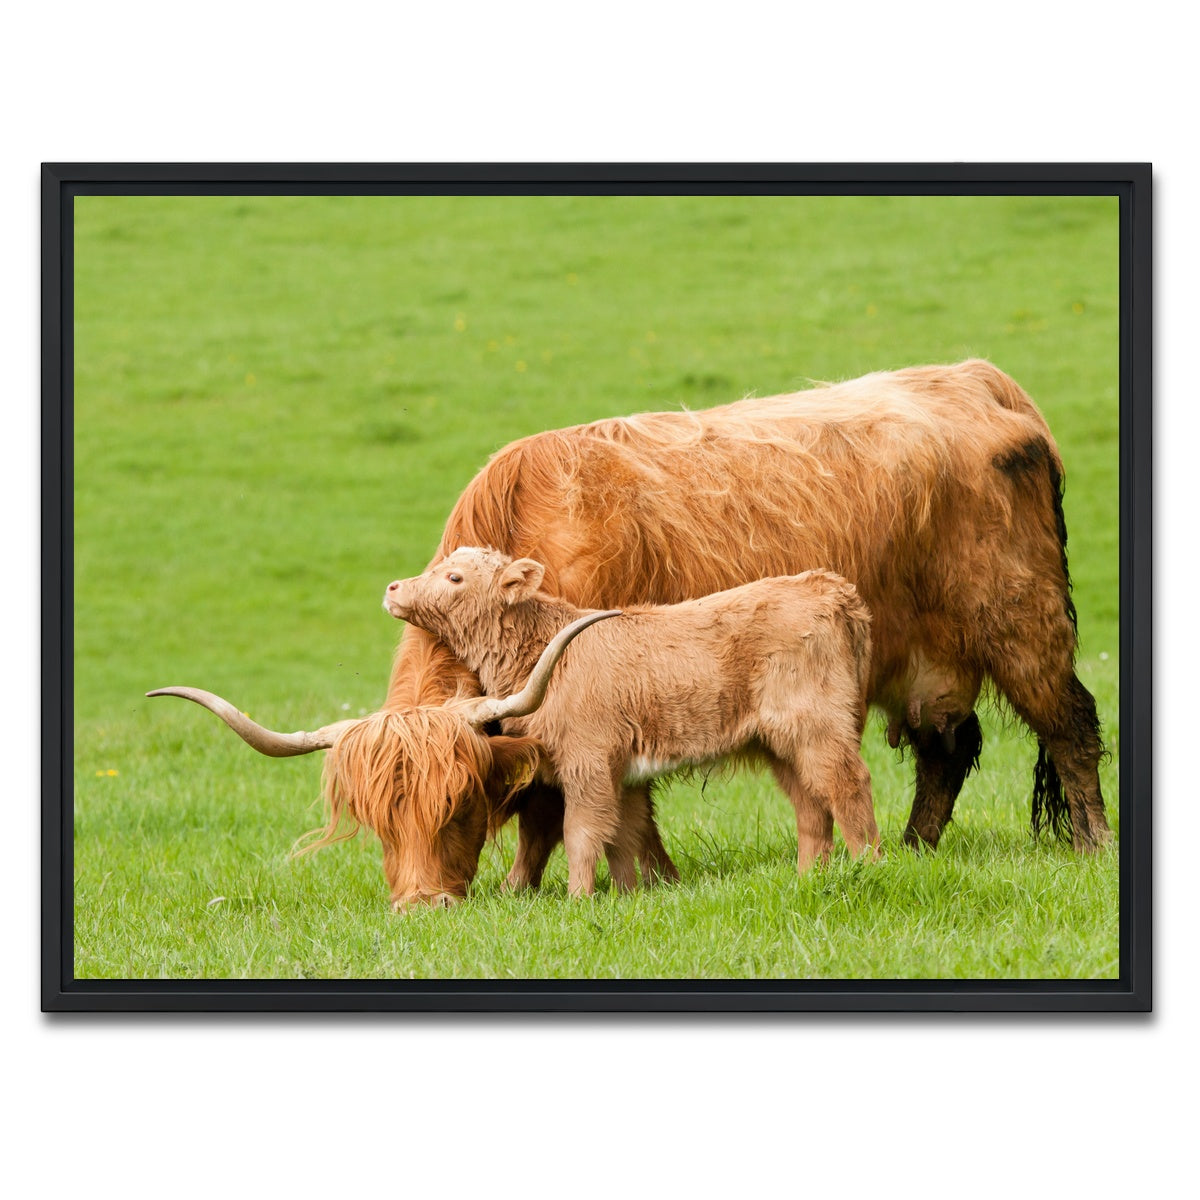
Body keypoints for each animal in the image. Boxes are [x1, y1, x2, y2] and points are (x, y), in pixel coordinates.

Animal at [384, 548, 878, 896]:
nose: (392, 588)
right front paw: (628, 896)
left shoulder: (588, 763)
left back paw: (868, 867)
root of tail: (830, 587)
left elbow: (582, 833)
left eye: (455, 577)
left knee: (847, 786)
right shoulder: (623, 774)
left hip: (819, 727)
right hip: (782, 744)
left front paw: (578, 900)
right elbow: (625, 834)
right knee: (810, 805)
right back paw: (808, 878)